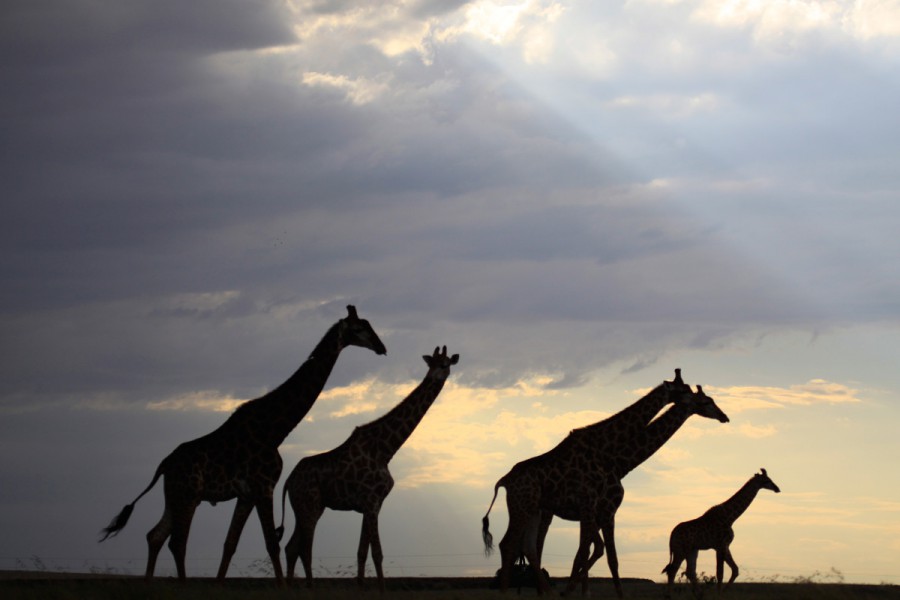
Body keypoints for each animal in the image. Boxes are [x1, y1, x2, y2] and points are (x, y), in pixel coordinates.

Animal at [99, 304, 386, 580]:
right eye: (360, 328)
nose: (382, 348)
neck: (275, 429)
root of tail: (163, 465)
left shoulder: (247, 495)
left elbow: (230, 544)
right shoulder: (264, 487)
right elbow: (271, 544)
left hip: (175, 496)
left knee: (155, 535)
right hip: (189, 494)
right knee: (177, 543)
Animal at [278, 344, 460, 592]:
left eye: (445, 364)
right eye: (431, 364)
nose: (434, 377)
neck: (385, 450)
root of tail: (288, 481)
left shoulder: (371, 504)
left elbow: (362, 552)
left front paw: (361, 587)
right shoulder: (372, 502)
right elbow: (377, 552)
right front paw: (382, 590)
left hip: (305, 507)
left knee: (291, 547)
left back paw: (291, 588)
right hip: (310, 505)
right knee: (305, 549)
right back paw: (309, 588)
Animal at [482, 376, 728, 596]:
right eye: (704, 401)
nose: (724, 416)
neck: (617, 461)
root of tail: (503, 480)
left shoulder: (598, 511)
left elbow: (597, 553)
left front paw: (586, 592)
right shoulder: (598, 508)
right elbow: (597, 554)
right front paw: (579, 592)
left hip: (534, 510)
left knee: (529, 547)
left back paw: (544, 592)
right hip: (525, 508)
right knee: (511, 544)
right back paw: (510, 593)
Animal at [660, 468, 780, 596]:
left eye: (770, 479)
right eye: (767, 480)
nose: (777, 489)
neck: (730, 518)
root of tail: (671, 535)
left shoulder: (725, 546)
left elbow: (735, 570)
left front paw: (723, 591)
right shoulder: (720, 545)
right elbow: (720, 573)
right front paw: (718, 593)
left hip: (692, 550)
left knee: (689, 571)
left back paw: (698, 594)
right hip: (681, 549)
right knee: (673, 570)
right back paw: (670, 595)